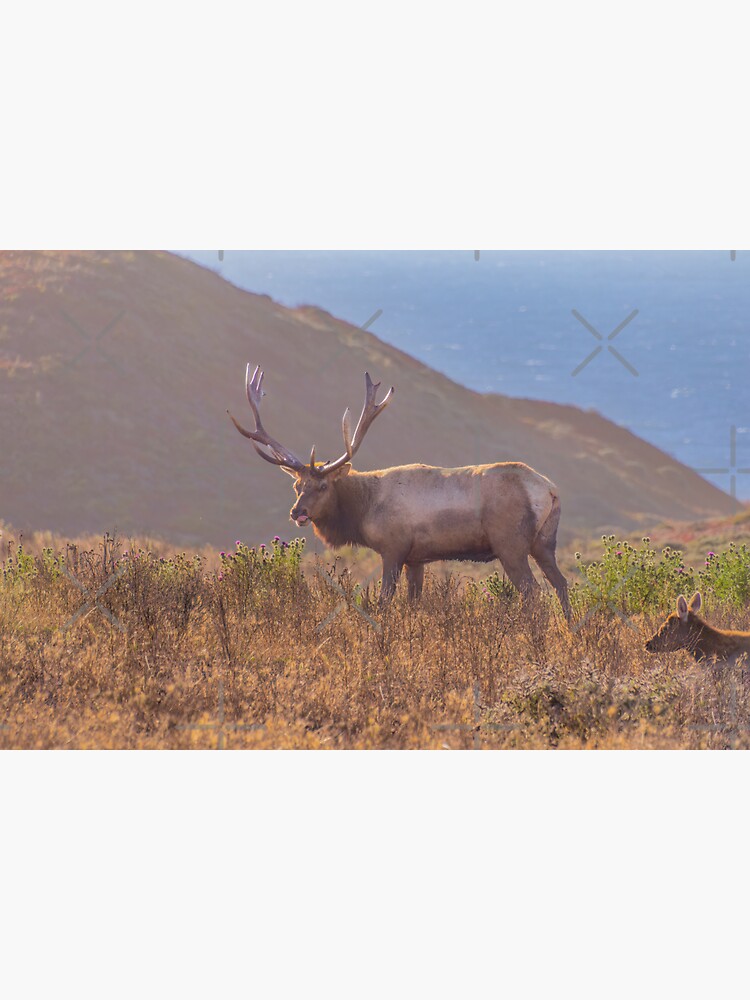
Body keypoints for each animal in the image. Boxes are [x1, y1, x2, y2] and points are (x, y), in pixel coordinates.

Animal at [229, 365, 571, 619]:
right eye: (296, 485)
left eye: (322, 485)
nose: (297, 512)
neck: (363, 511)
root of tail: (550, 490)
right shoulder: (416, 558)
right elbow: (413, 603)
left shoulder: (393, 547)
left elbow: (384, 601)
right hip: (544, 542)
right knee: (561, 584)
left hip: (510, 543)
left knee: (533, 593)